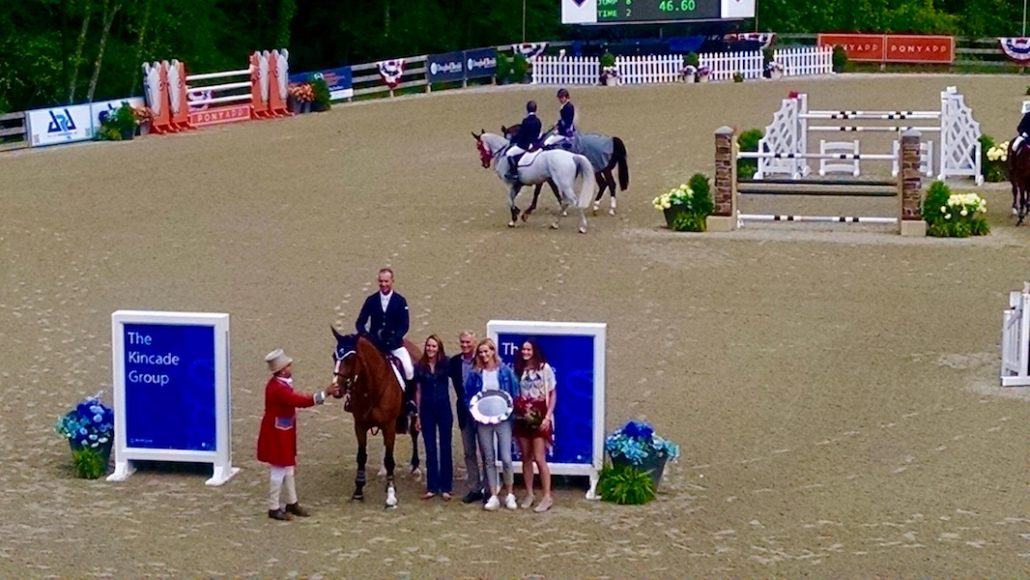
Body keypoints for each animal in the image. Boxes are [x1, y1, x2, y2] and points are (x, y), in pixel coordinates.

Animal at [333, 329, 422, 510]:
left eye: (350, 358)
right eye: (334, 356)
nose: (336, 389)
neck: (371, 387)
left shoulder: (389, 425)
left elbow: (390, 460)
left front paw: (391, 496)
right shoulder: (359, 425)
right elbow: (361, 457)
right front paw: (358, 491)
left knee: (414, 433)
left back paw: (415, 467)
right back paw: (382, 471)